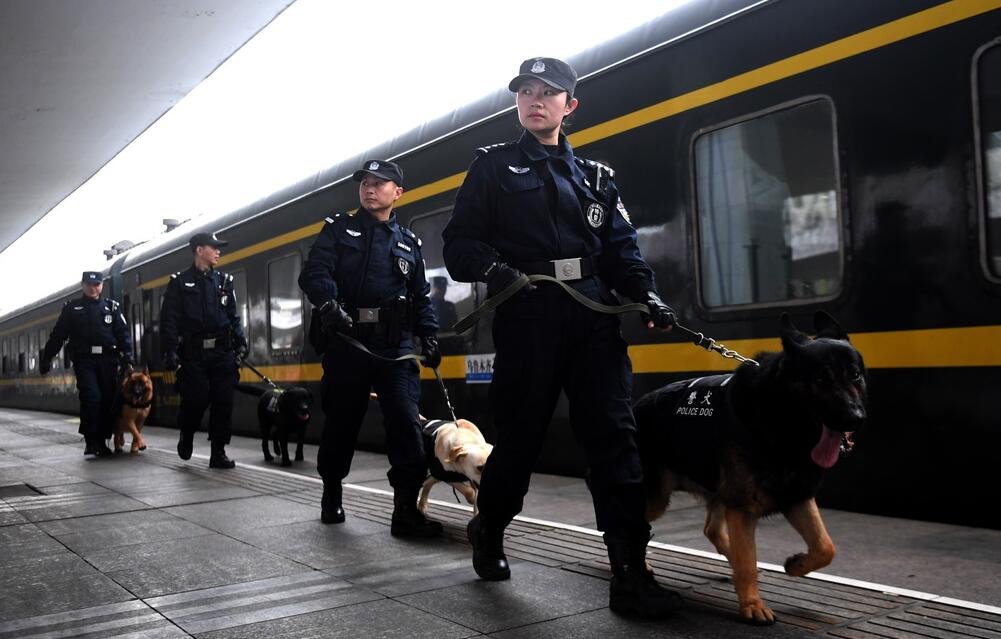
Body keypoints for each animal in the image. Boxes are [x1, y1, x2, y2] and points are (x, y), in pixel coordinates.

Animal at [636, 312, 864, 628]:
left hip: (719, 493)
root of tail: (634, 407)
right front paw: (752, 604)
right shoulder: (744, 507)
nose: (855, 418)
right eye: (820, 378)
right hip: (658, 498)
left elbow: (825, 546)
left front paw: (796, 565)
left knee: (712, 530)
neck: (779, 418)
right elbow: (748, 562)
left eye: (854, 375)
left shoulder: (797, 496)